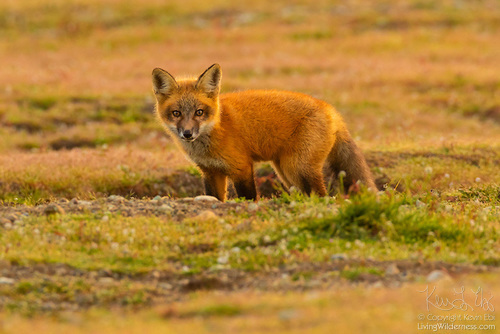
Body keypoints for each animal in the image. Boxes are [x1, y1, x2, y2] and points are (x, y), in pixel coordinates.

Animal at [152, 64, 376, 201]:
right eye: (176, 113)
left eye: (199, 112)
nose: (187, 133)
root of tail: (330, 109)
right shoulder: (210, 171)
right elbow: (215, 198)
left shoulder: (241, 167)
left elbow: (249, 197)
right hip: (286, 172)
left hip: (298, 167)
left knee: (321, 195)